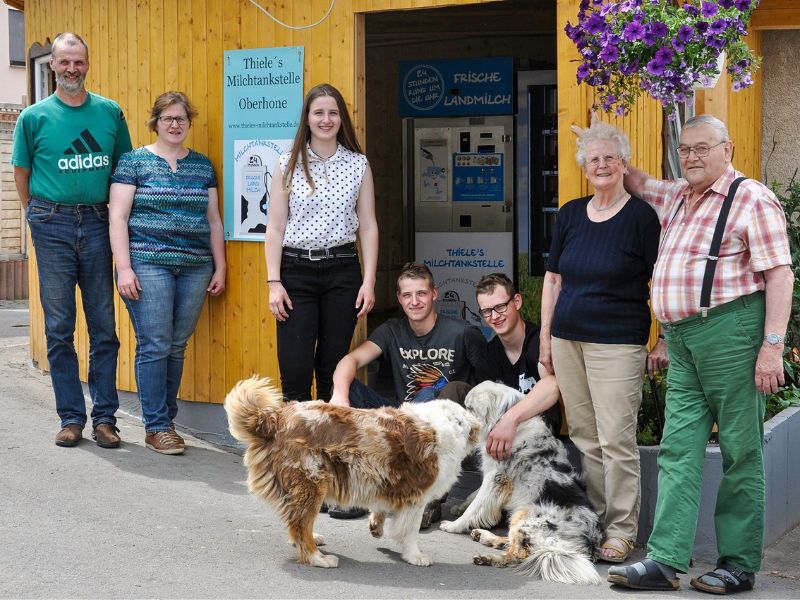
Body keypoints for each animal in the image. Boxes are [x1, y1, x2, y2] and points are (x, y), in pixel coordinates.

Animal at [222, 378, 478, 568]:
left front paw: (376, 527)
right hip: (312, 484)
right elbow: (410, 532)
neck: (445, 426)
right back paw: (318, 558)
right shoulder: (416, 497)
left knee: (295, 523)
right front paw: (415, 556)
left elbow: (381, 509)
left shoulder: (387, 480)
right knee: (300, 526)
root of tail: (273, 419)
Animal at [440, 380, 604, 584]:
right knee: (512, 544)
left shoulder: (495, 477)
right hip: (520, 515)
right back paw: (485, 536)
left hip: (528, 520)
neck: (506, 420)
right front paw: (460, 507)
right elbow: (474, 496)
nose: (459, 417)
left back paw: (487, 557)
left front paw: (454, 525)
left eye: (470, 407)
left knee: (517, 555)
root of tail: (590, 544)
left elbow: (477, 505)